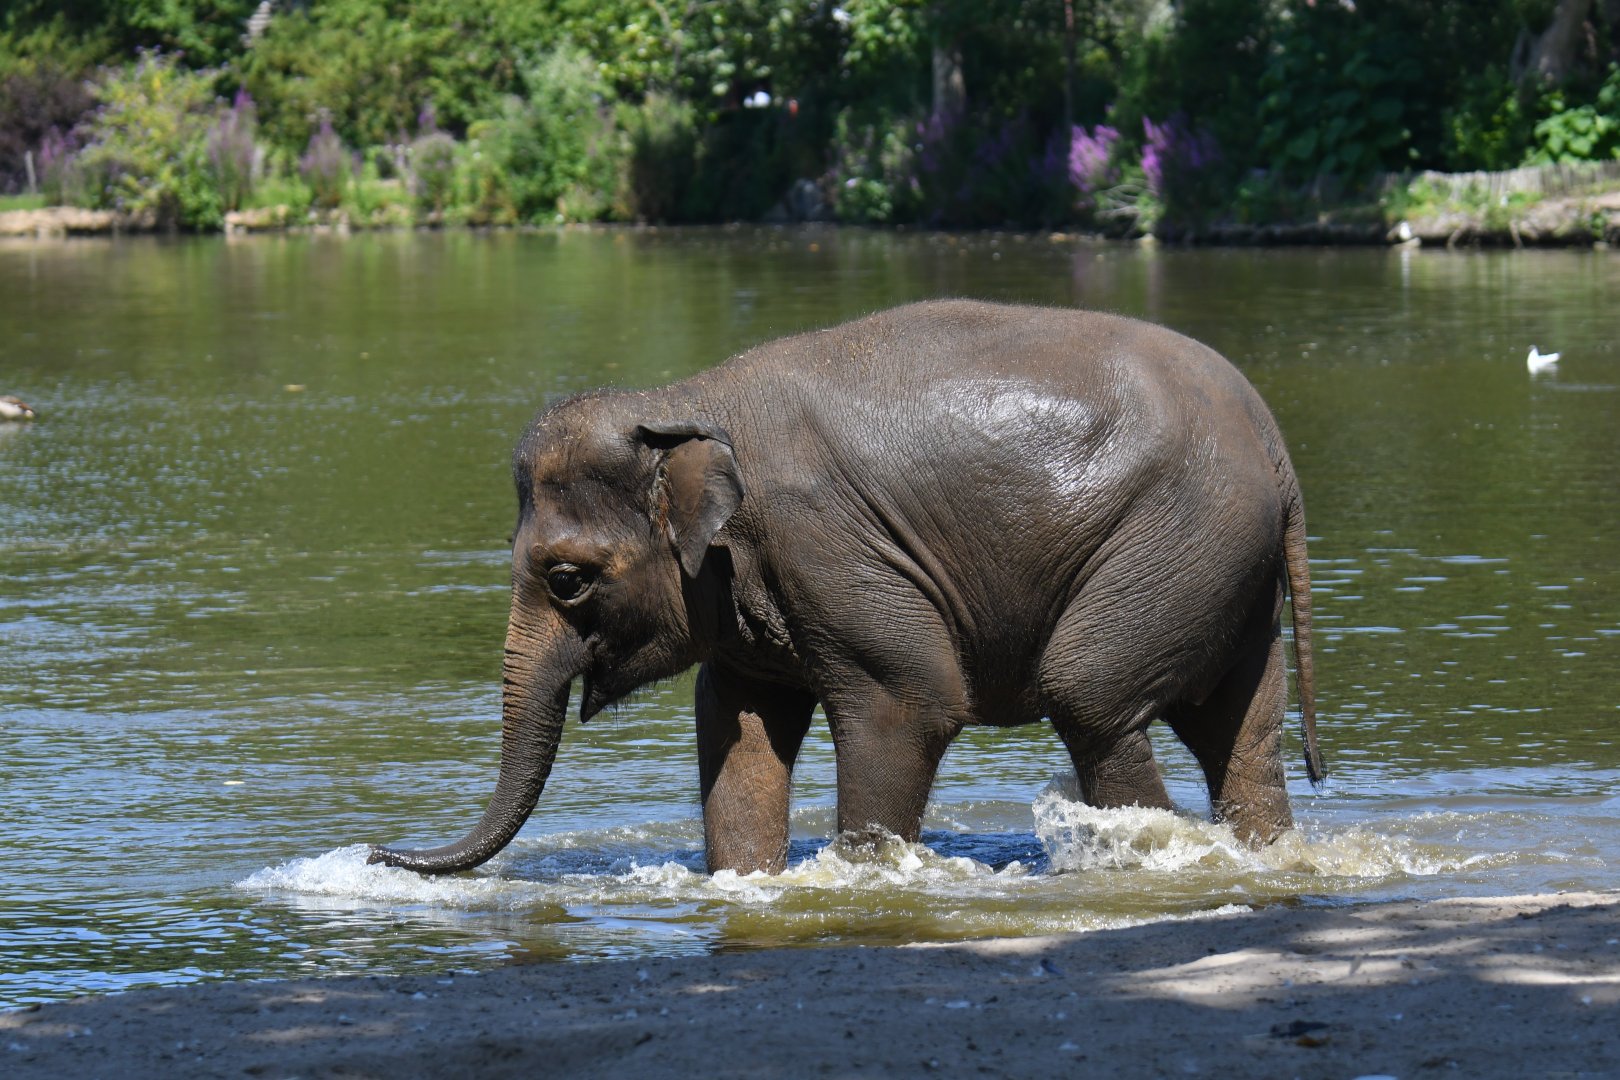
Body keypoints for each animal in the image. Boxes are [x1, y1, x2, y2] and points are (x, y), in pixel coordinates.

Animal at [369, 299, 1323, 876]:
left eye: (566, 580)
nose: (381, 852)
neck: (682, 401)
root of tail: (1275, 445)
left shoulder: (827, 545)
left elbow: (909, 702)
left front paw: (865, 878)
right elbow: (738, 724)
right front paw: (748, 882)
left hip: (1178, 539)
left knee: (1092, 696)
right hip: (1225, 572)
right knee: (1239, 731)